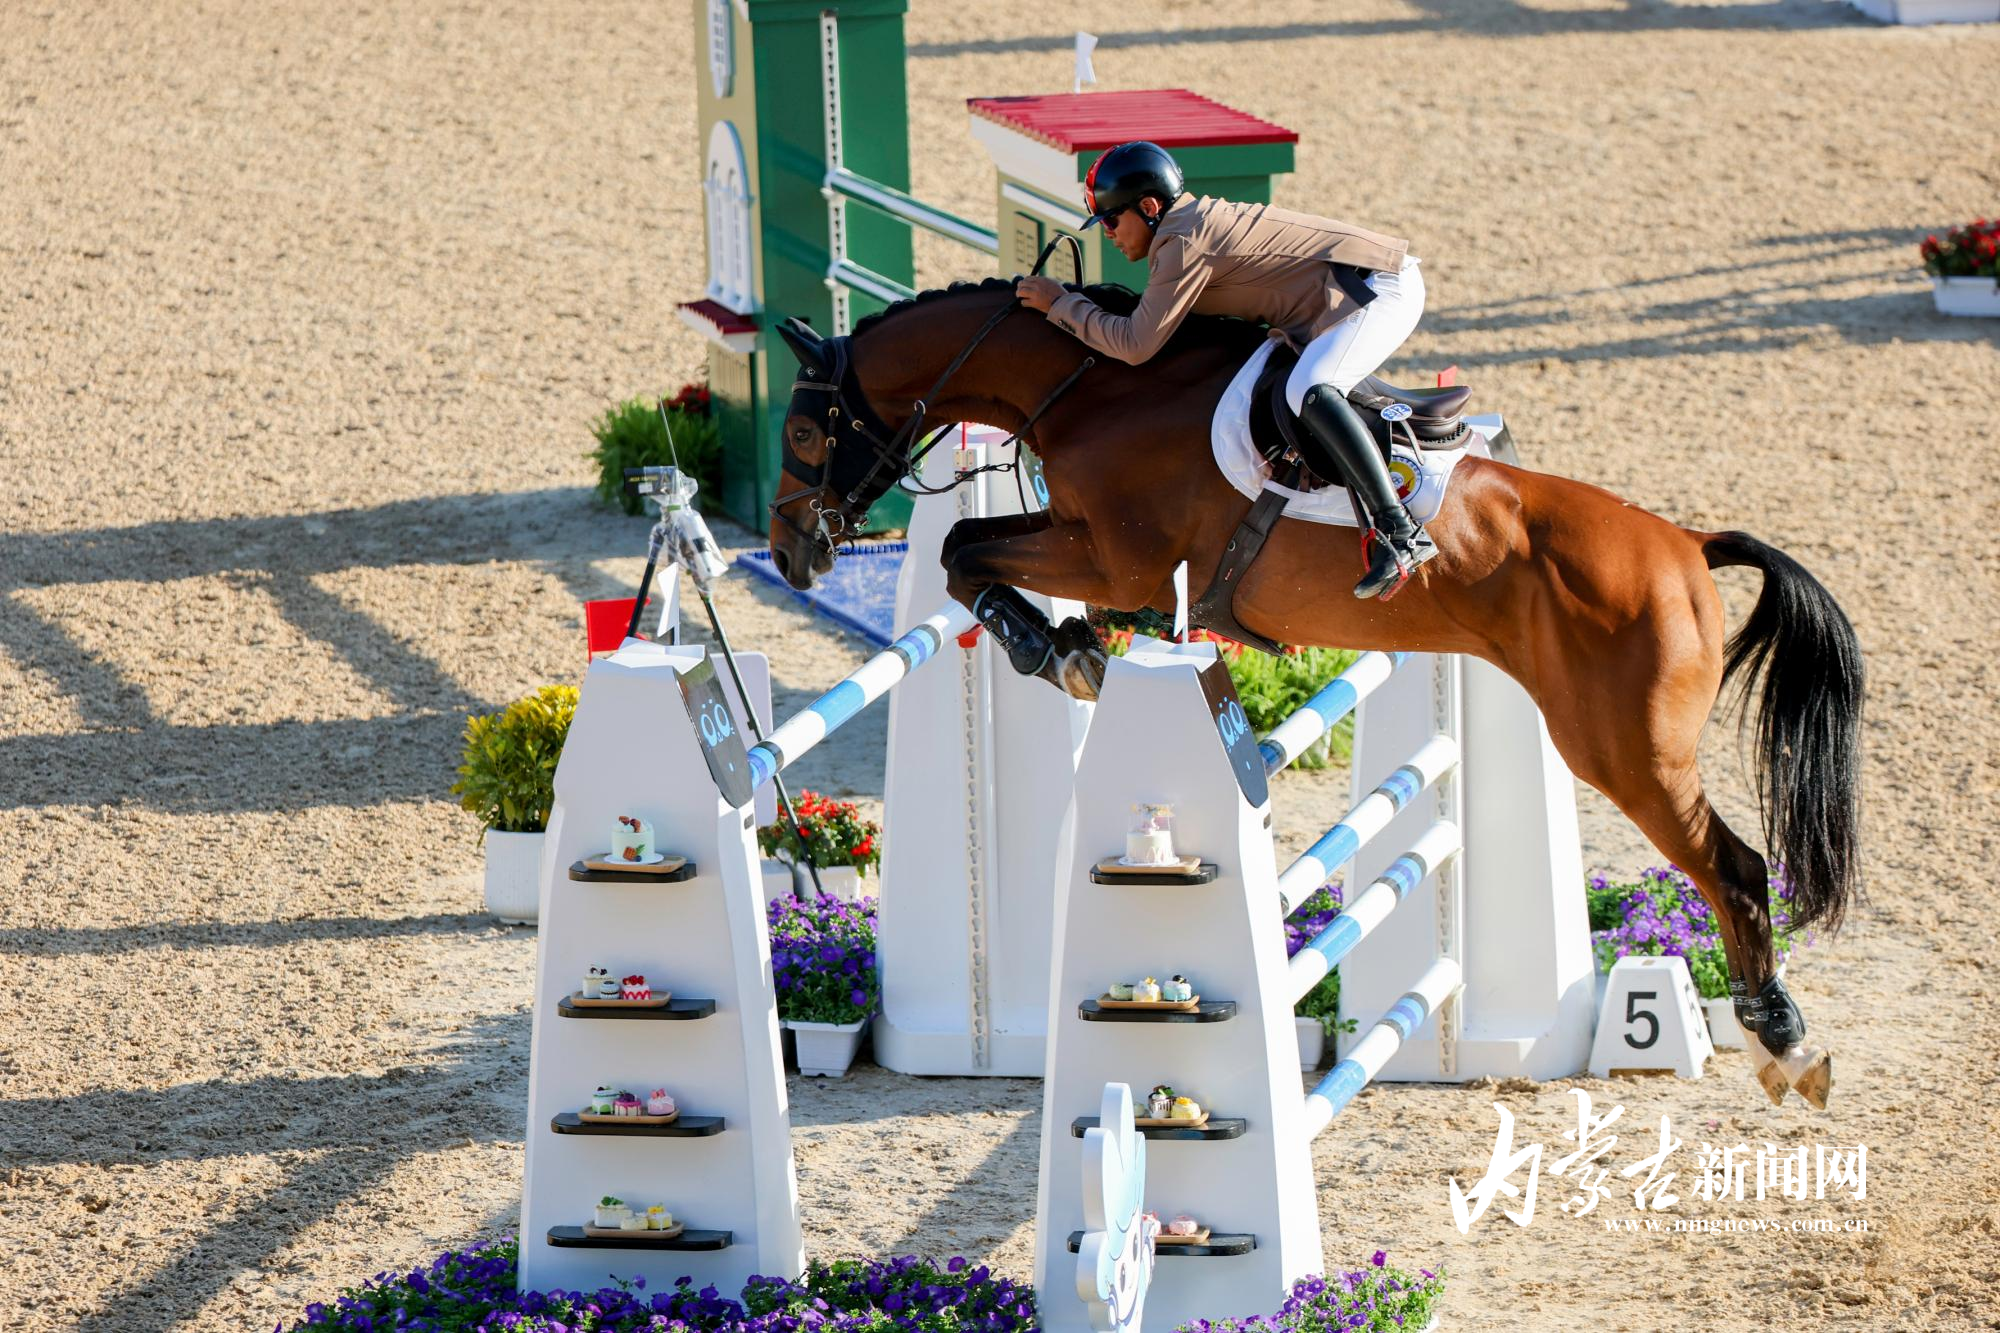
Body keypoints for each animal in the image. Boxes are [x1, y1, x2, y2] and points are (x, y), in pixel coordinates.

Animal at [765, 277, 1863, 1111]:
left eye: (806, 430)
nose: (791, 551)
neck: (1095, 388)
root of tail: (1684, 545)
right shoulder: (1091, 550)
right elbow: (967, 548)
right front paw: (1067, 646)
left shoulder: (1115, 558)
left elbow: (963, 548)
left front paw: (1054, 645)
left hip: (1626, 752)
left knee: (1734, 867)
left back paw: (1781, 1034)